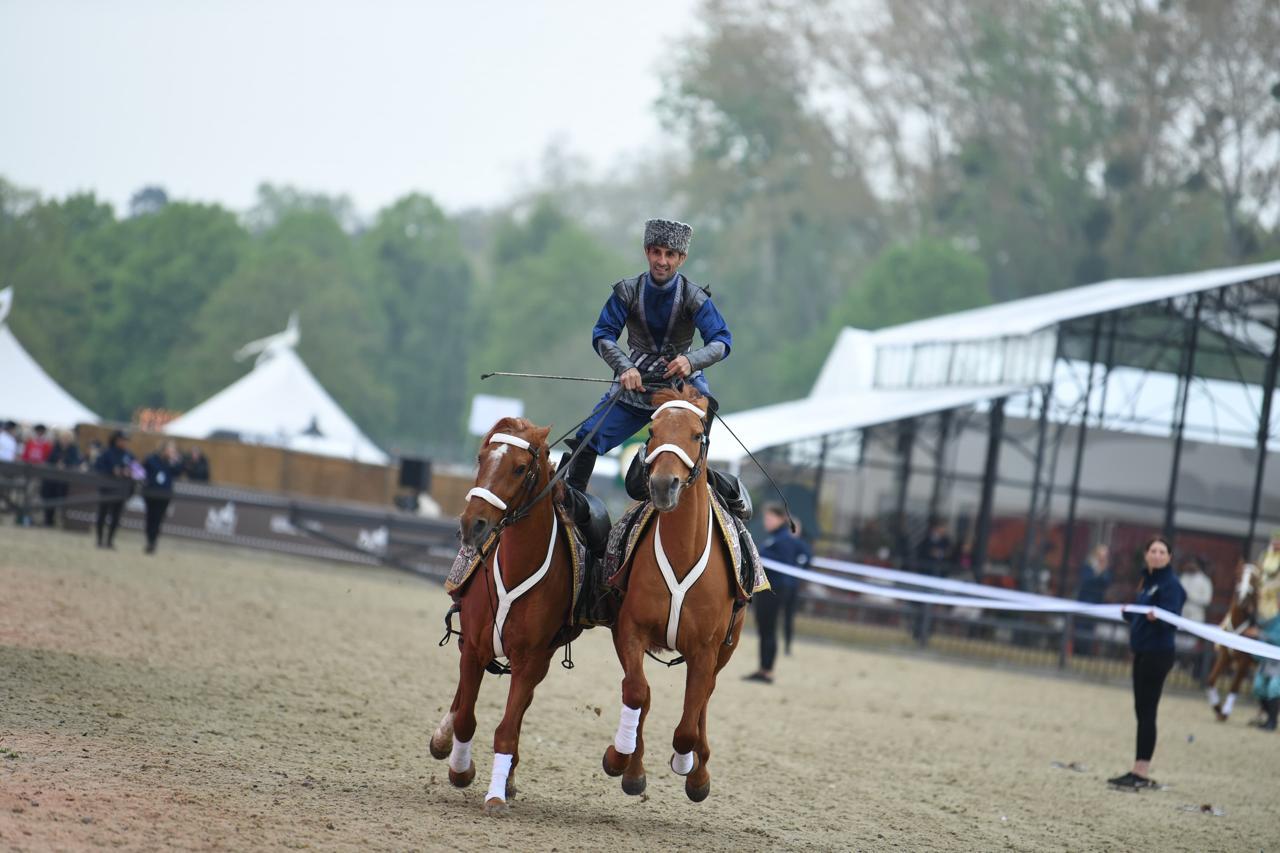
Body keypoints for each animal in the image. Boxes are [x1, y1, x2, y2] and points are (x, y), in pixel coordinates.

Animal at [427, 417, 578, 819]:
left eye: (521, 468)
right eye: (481, 458)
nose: (472, 524)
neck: (516, 568)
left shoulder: (530, 659)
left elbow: (508, 727)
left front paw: (496, 792)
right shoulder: (474, 648)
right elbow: (466, 717)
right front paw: (461, 769)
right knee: (461, 701)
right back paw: (443, 740)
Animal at [601, 381, 747, 799]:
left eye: (697, 435)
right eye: (652, 432)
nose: (664, 485)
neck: (683, 552)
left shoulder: (706, 649)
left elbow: (687, 725)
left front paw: (689, 767)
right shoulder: (629, 629)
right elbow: (637, 692)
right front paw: (621, 759)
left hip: (727, 648)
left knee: (703, 701)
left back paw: (699, 770)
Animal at [1203, 560, 1254, 722]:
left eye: (1254, 579)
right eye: (1238, 575)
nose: (1243, 598)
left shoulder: (1245, 662)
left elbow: (1234, 686)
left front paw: (1225, 711)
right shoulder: (1225, 656)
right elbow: (1211, 680)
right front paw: (1218, 708)